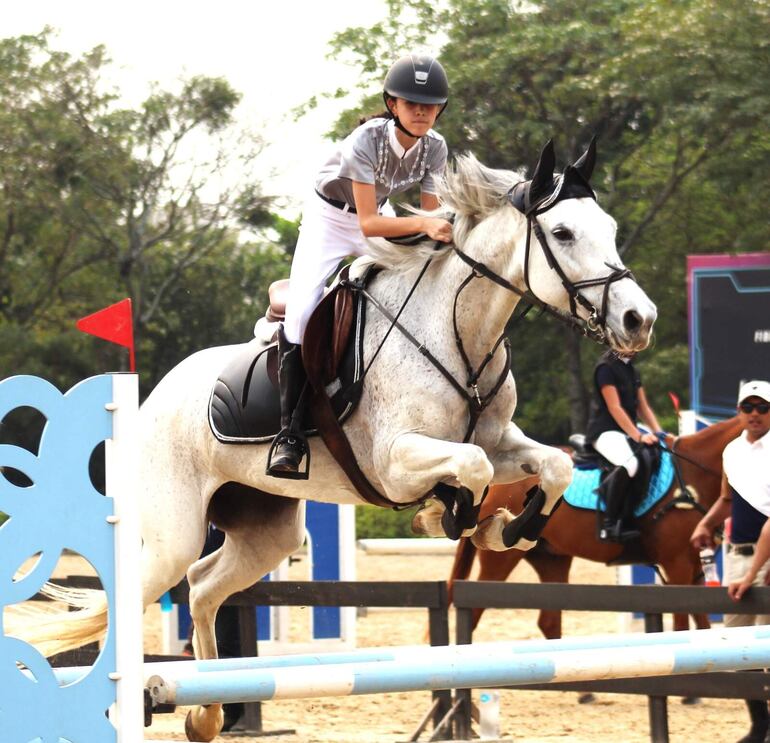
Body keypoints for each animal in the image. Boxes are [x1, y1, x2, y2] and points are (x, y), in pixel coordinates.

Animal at [24, 140, 652, 740]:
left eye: (611, 228)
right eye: (563, 233)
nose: (638, 320)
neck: (456, 332)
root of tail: (152, 397)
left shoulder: (503, 444)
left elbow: (551, 467)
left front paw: (503, 528)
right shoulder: (396, 461)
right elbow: (469, 468)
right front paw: (449, 516)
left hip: (267, 531)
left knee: (202, 587)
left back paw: (206, 715)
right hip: (173, 533)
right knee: (141, 593)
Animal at [448, 418, 740, 640]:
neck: (692, 474)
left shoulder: (694, 566)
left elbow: (702, 622)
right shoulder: (677, 564)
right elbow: (682, 624)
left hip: (552, 559)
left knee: (549, 621)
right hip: (500, 560)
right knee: (474, 611)